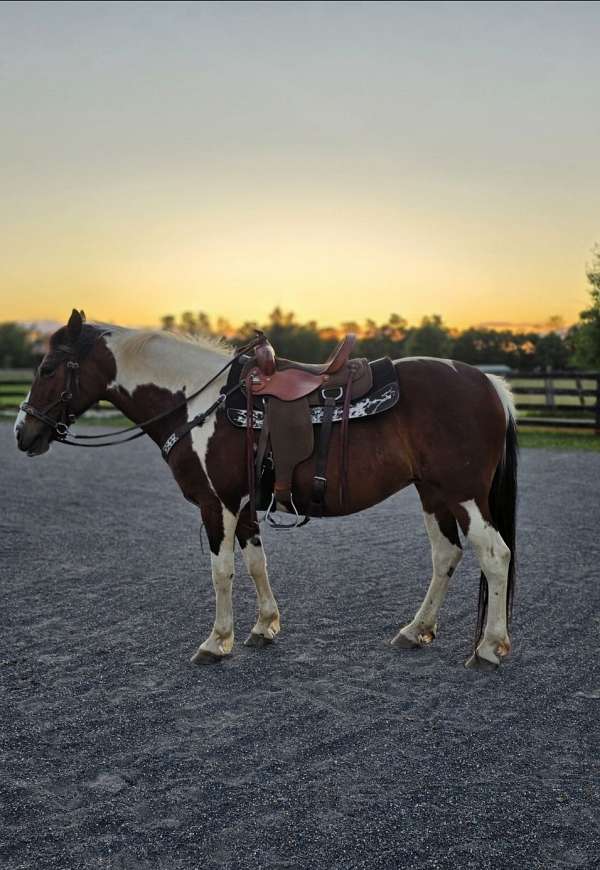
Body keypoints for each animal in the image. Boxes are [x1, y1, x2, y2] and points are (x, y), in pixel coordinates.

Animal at [15, 309, 518, 671]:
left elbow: (221, 572)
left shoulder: (215, 504)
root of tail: (488, 382)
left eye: (48, 368)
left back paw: (489, 648)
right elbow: (256, 563)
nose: (23, 433)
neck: (197, 403)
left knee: (495, 556)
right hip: (434, 493)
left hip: (464, 494)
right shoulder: (244, 505)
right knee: (446, 555)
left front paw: (217, 641)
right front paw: (264, 626)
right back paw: (416, 631)